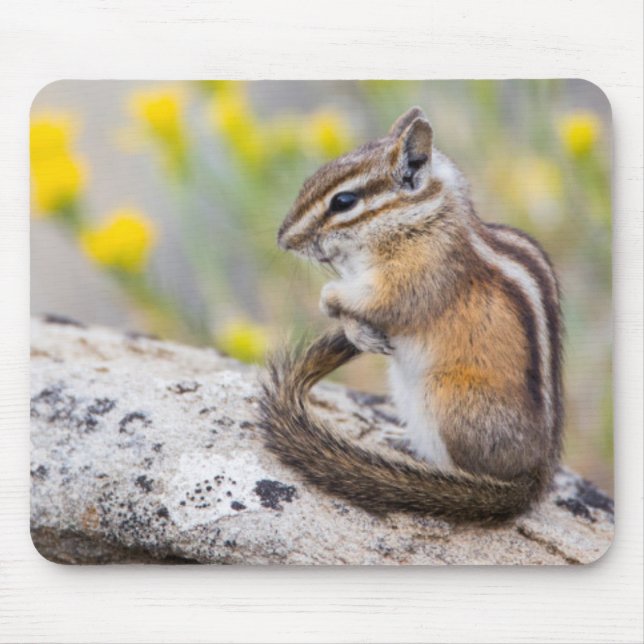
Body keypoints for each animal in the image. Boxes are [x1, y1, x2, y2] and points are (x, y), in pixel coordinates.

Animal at [258, 106, 563, 524]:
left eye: (343, 201)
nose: (283, 239)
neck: (419, 219)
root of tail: (535, 479)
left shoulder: (414, 279)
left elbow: (378, 302)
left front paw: (330, 298)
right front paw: (356, 331)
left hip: (444, 394)